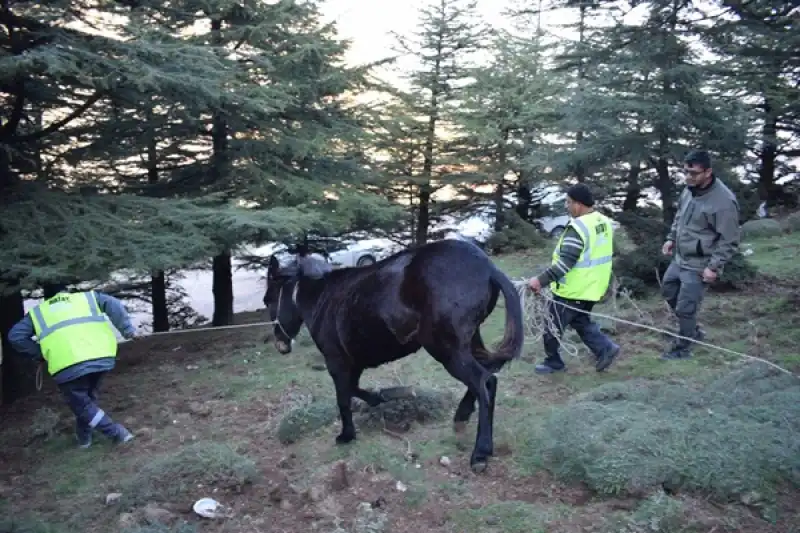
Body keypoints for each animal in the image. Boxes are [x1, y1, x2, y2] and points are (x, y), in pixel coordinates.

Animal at [262, 237, 524, 470]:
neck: (324, 299)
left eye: (268, 300)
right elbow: (355, 389)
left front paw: (346, 435)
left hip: (446, 349)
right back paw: (461, 416)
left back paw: (480, 453)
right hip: (468, 342)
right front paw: (384, 396)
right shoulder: (354, 362)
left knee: (483, 382)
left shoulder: (336, 361)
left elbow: (343, 397)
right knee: (488, 376)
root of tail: (488, 268)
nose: (280, 344)